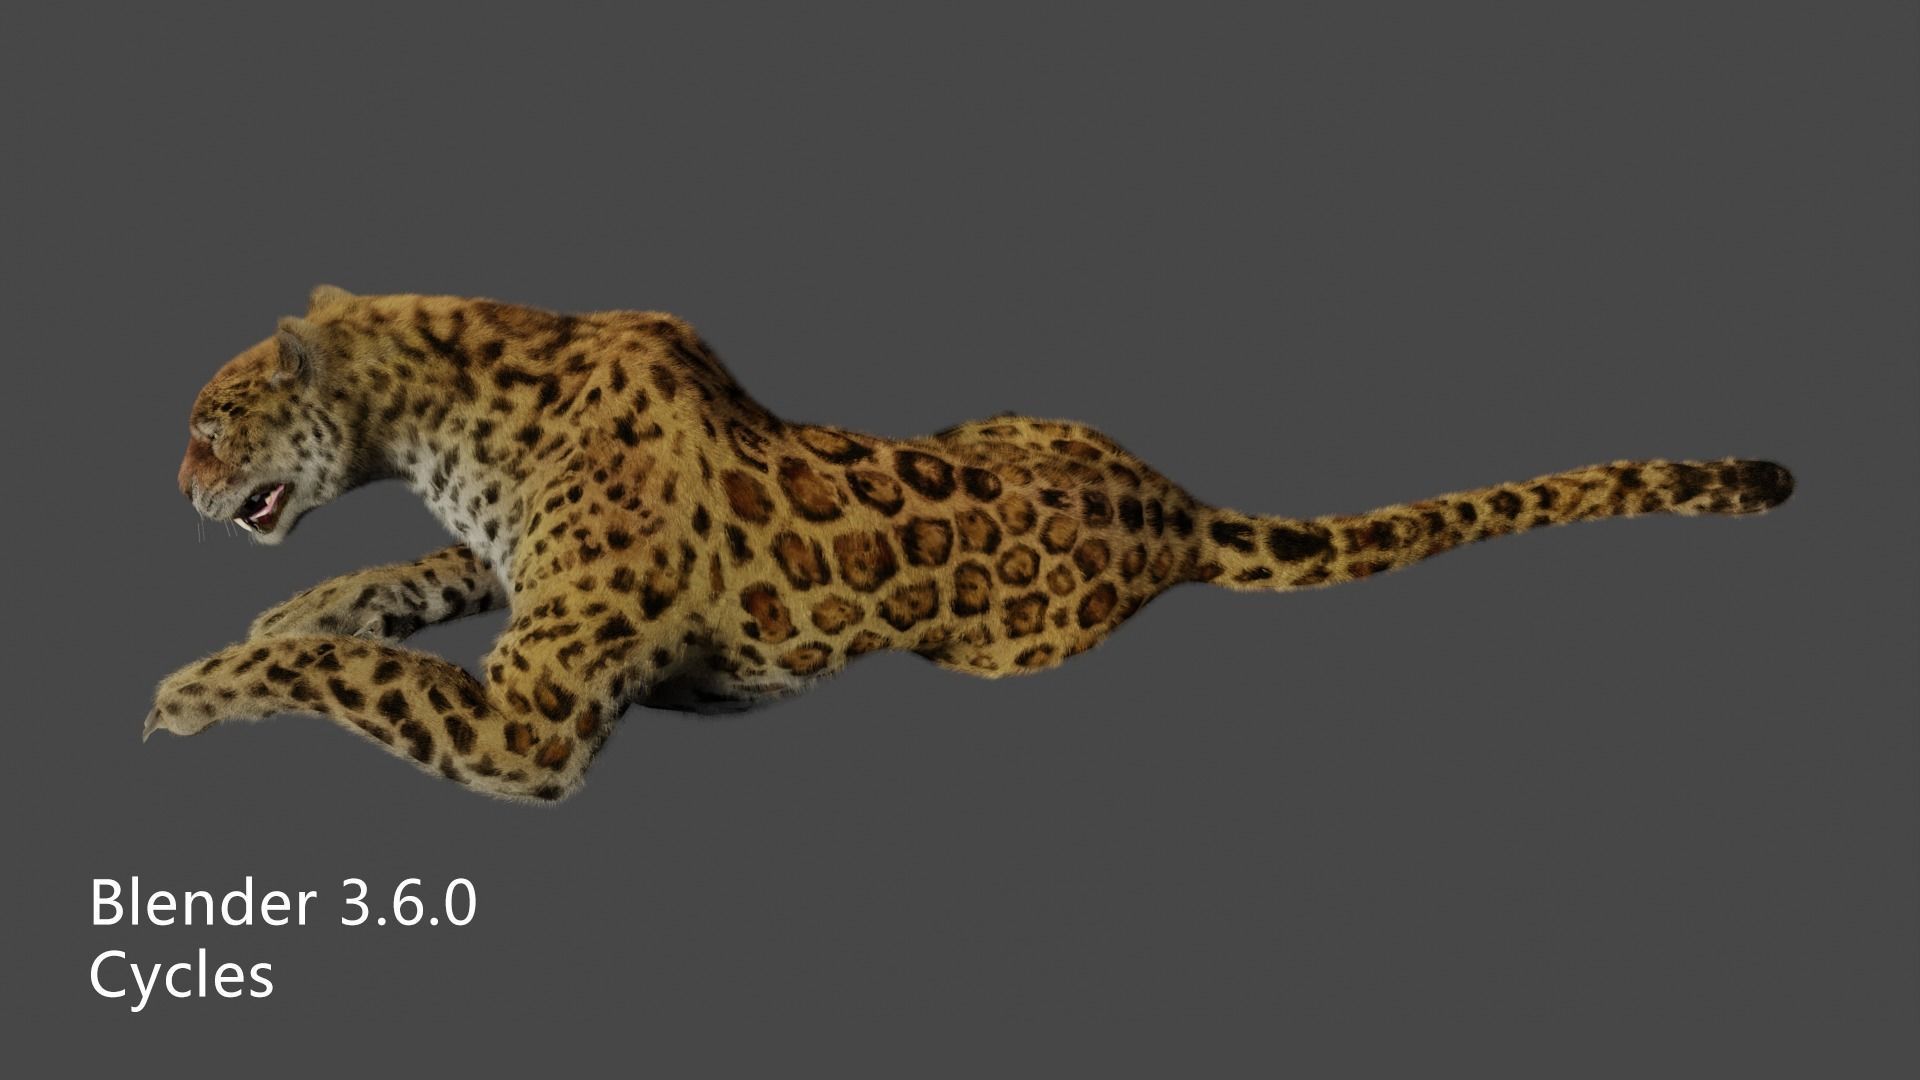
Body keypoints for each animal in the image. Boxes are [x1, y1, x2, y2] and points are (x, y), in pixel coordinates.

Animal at [148, 287, 1796, 803]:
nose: (174, 487)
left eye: (214, 421)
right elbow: (382, 587)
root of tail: (1167, 501)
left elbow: (364, 680)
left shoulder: (534, 715)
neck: (444, 425)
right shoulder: (503, 580)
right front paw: (274, 622)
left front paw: (197, 688)